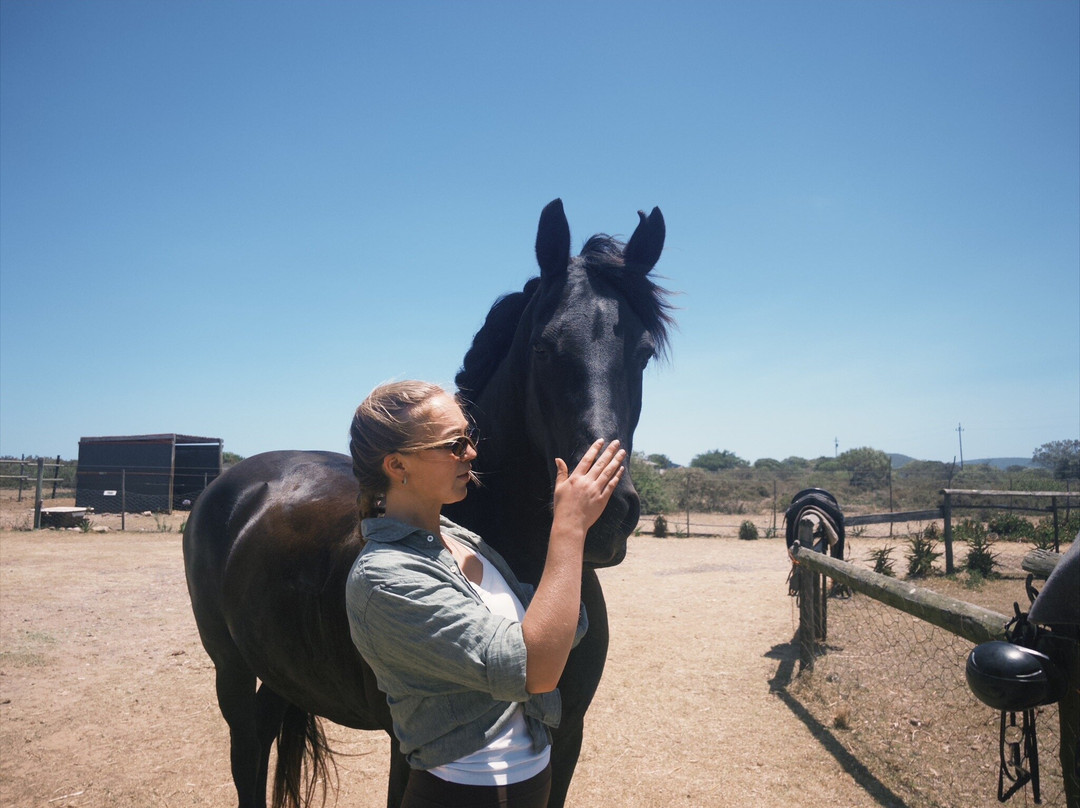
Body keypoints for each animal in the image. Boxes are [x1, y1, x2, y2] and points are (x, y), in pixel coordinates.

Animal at [182, 198, 672, 808]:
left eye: (643, 353)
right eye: (542, 346)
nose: (606, 517)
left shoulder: (569, 736)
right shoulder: (406, 748)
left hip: (277, 669)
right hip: (229, 668)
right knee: (247, 753)